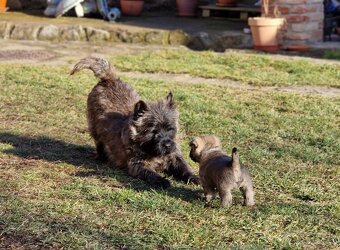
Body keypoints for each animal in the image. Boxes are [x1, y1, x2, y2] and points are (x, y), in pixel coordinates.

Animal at [71, 56, 199, 188]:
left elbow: (184, 168)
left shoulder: (174, 157)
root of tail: (110, 79)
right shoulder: (137, 165)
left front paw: (194, 177)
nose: (168, 145)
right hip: (94, 127)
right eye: (153, 131)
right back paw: (102, 157)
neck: (148, 147)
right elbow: (150, 174)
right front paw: (162, 181)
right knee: (99, 142)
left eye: (170, 129)